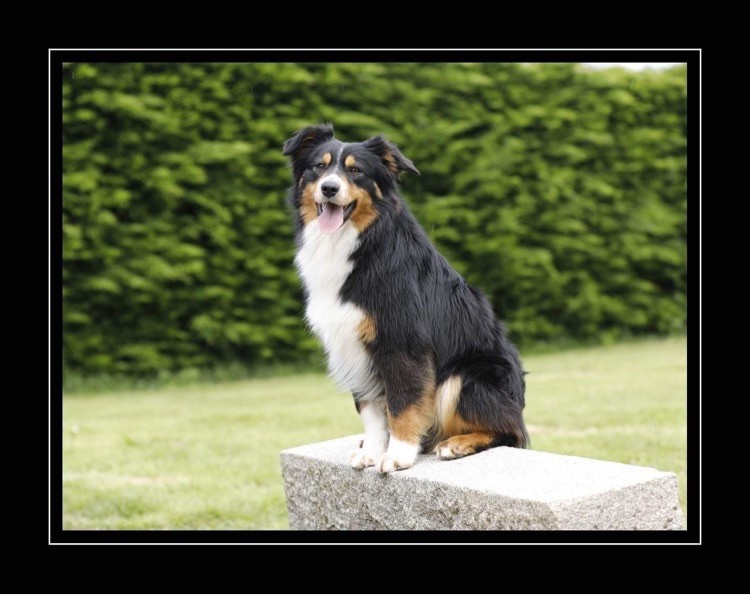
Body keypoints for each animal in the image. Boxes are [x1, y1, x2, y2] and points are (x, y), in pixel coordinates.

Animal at [284, 123, 528, 472]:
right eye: (319, 166)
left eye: (356, 171)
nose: (329, 188)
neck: (361, 243)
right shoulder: (353, 345)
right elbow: (371, 411)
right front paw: (373, 451)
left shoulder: (402, 342)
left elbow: (403, 402)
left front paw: (398, 455)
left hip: (467, 375)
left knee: (510, 431)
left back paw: (457, 444)